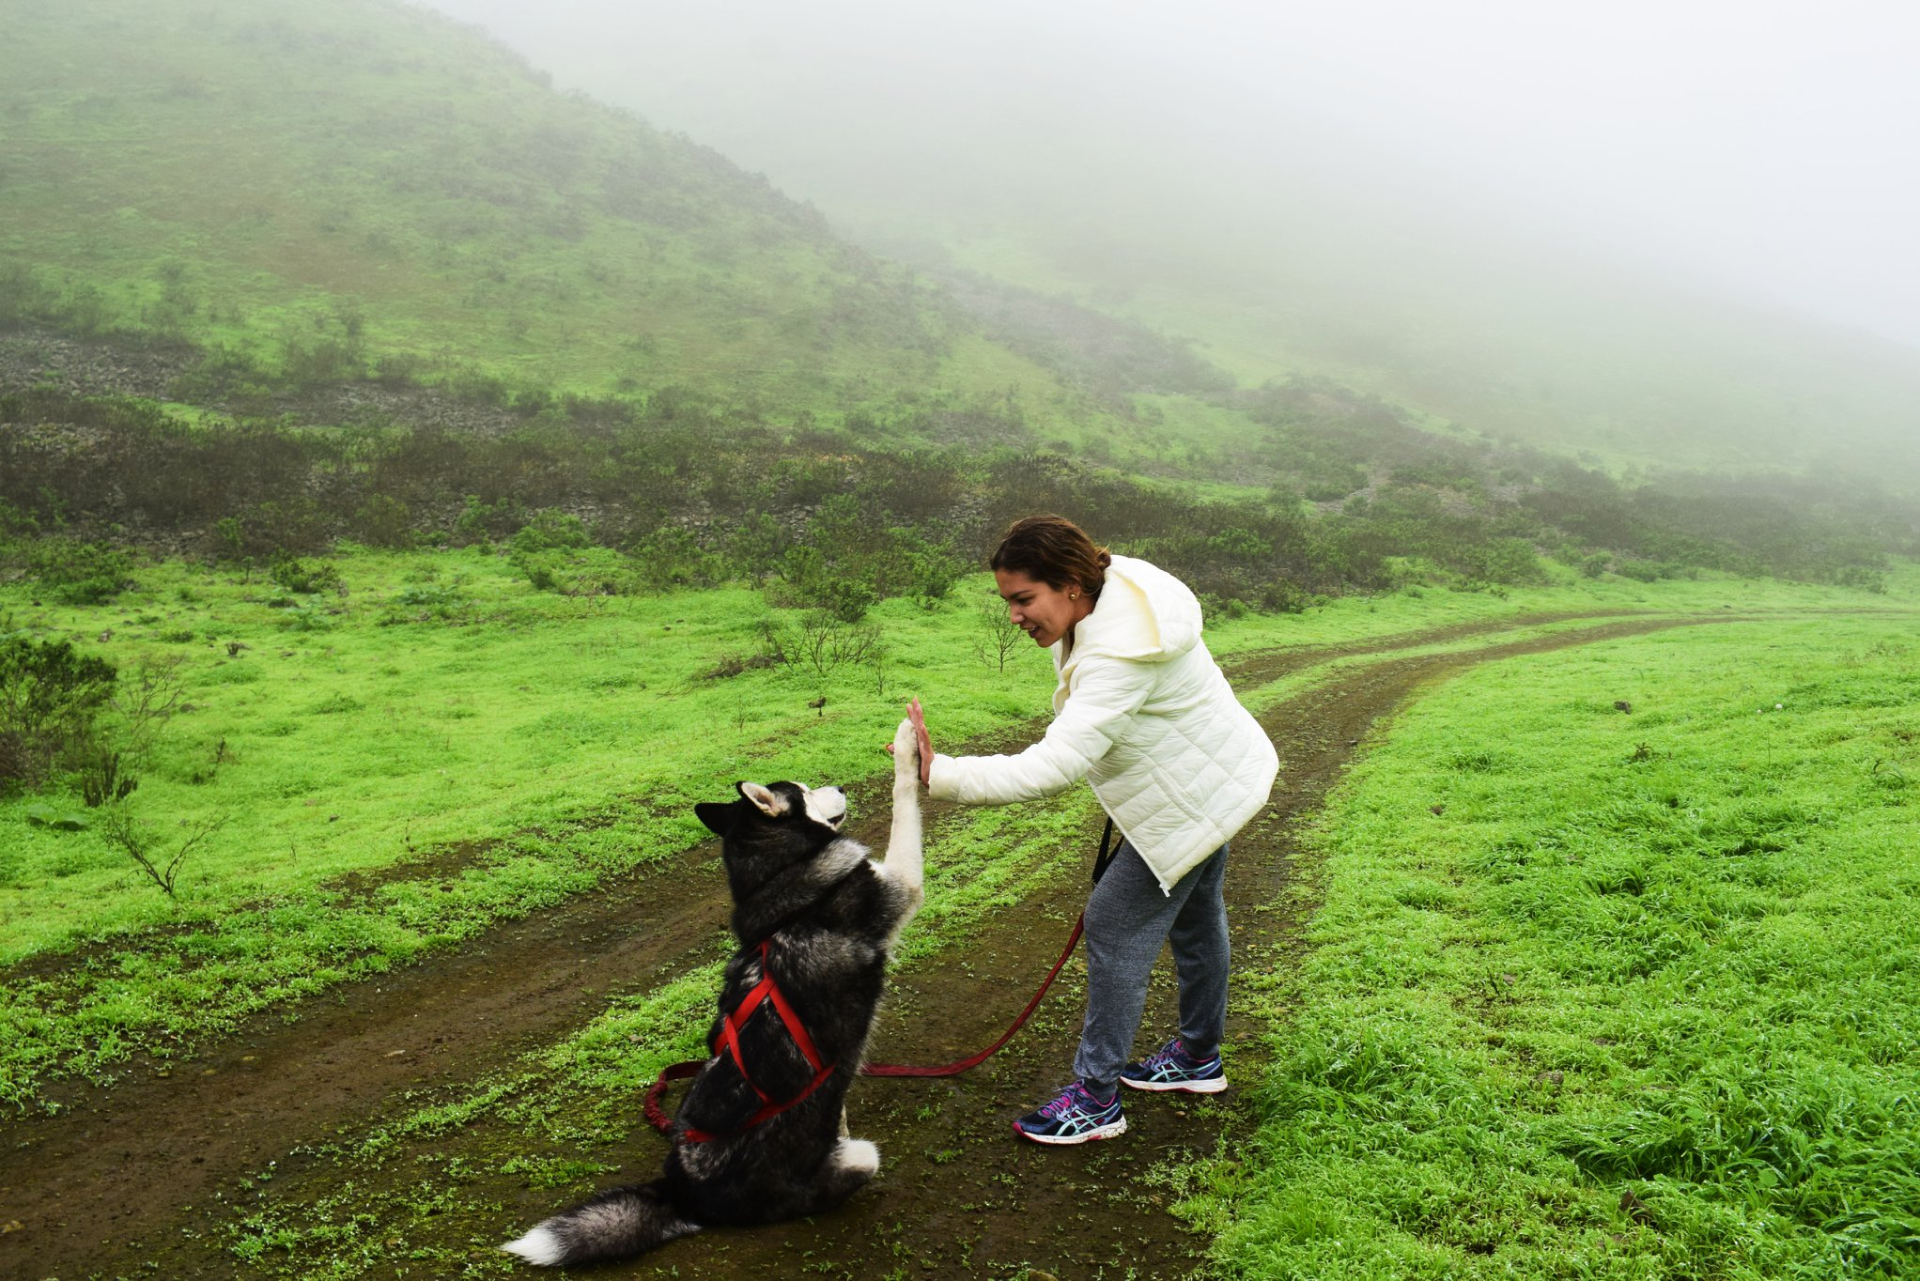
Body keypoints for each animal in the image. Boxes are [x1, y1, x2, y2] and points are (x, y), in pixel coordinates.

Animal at [499, 718, 925, 1267]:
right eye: (806, 790)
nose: (841, 786)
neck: (782, 882)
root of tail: (683, 1194)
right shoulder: (899, 886)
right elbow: (902, 797)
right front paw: (909, 743)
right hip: (863, 1158)